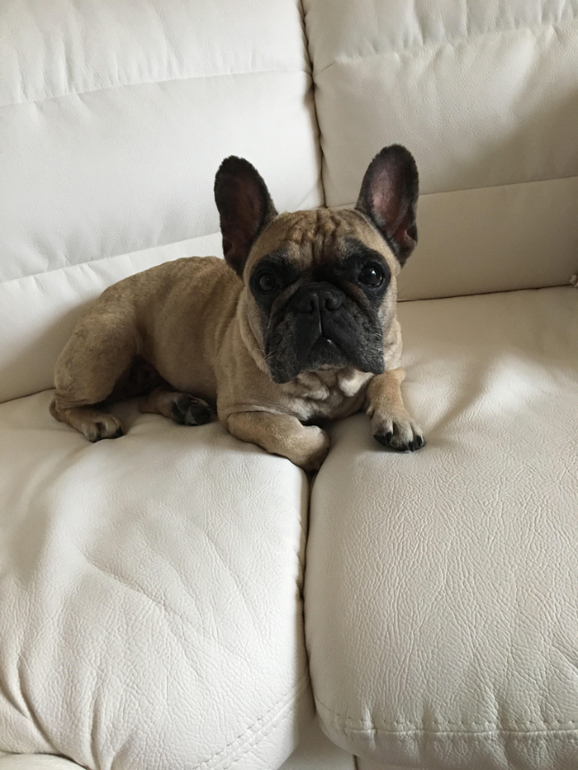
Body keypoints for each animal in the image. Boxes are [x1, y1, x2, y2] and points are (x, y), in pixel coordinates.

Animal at [50, 144, 424, 470]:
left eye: (372, 275)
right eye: (266, 282)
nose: (318, 298)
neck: (327, 378)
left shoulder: (392, 361)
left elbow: (384, 381)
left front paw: (396, 417)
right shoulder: (240, 412)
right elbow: (292, 435)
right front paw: (315, 440)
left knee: (145, 396)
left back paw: (181, 405)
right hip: (108, 346)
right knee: (59, 404)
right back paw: (97, 420)